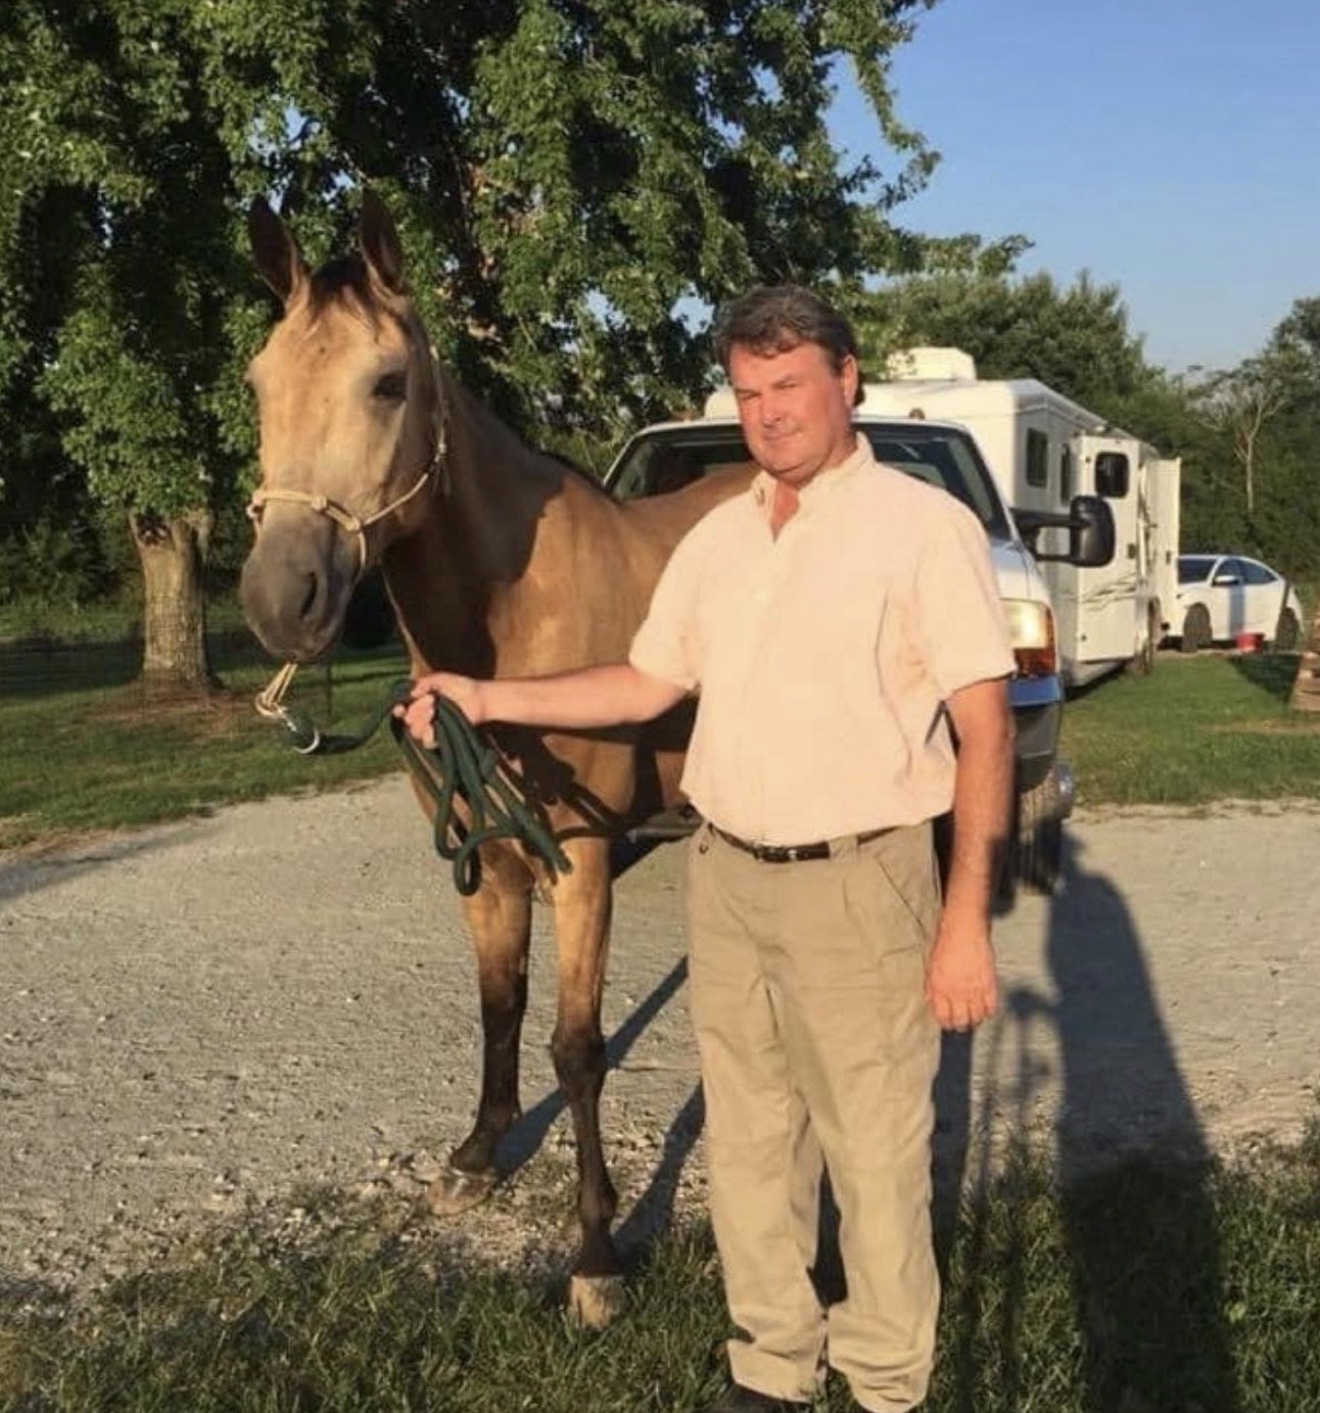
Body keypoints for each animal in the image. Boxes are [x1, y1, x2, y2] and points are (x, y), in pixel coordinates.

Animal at [239, 191, 751, 1325]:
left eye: (388, 382)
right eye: (257, 382)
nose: (280, 599)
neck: (515, 628)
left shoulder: (582, 861)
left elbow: (578, 1048)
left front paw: (596, 1255)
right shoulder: (485, 858)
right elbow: (498, 1004)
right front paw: (478, 1155)